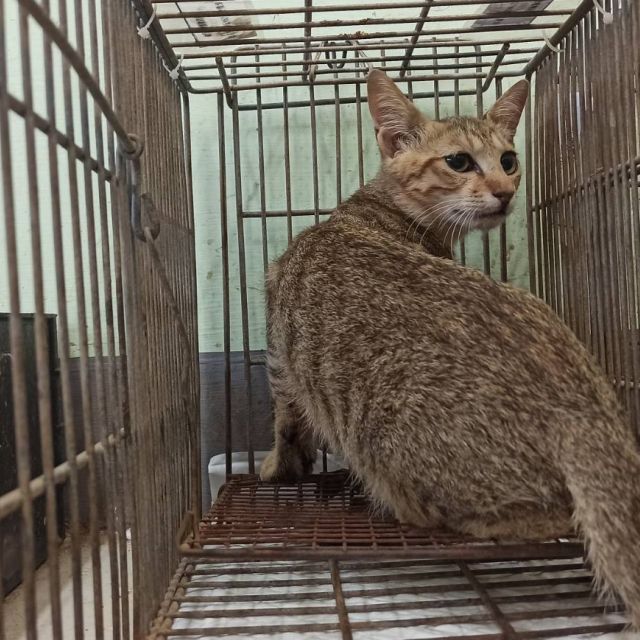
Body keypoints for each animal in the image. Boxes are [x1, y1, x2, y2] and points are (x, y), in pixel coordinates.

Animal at [260, 69, 640, 629]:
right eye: (459, 161)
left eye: (509, 159)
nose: (505, 191)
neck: (371, 206)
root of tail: (584, 410)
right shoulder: (280, 356)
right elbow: (288, 421)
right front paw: (282, 465)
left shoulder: (279, 358)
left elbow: (287, 420)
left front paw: (278, 465)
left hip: (390, 448)